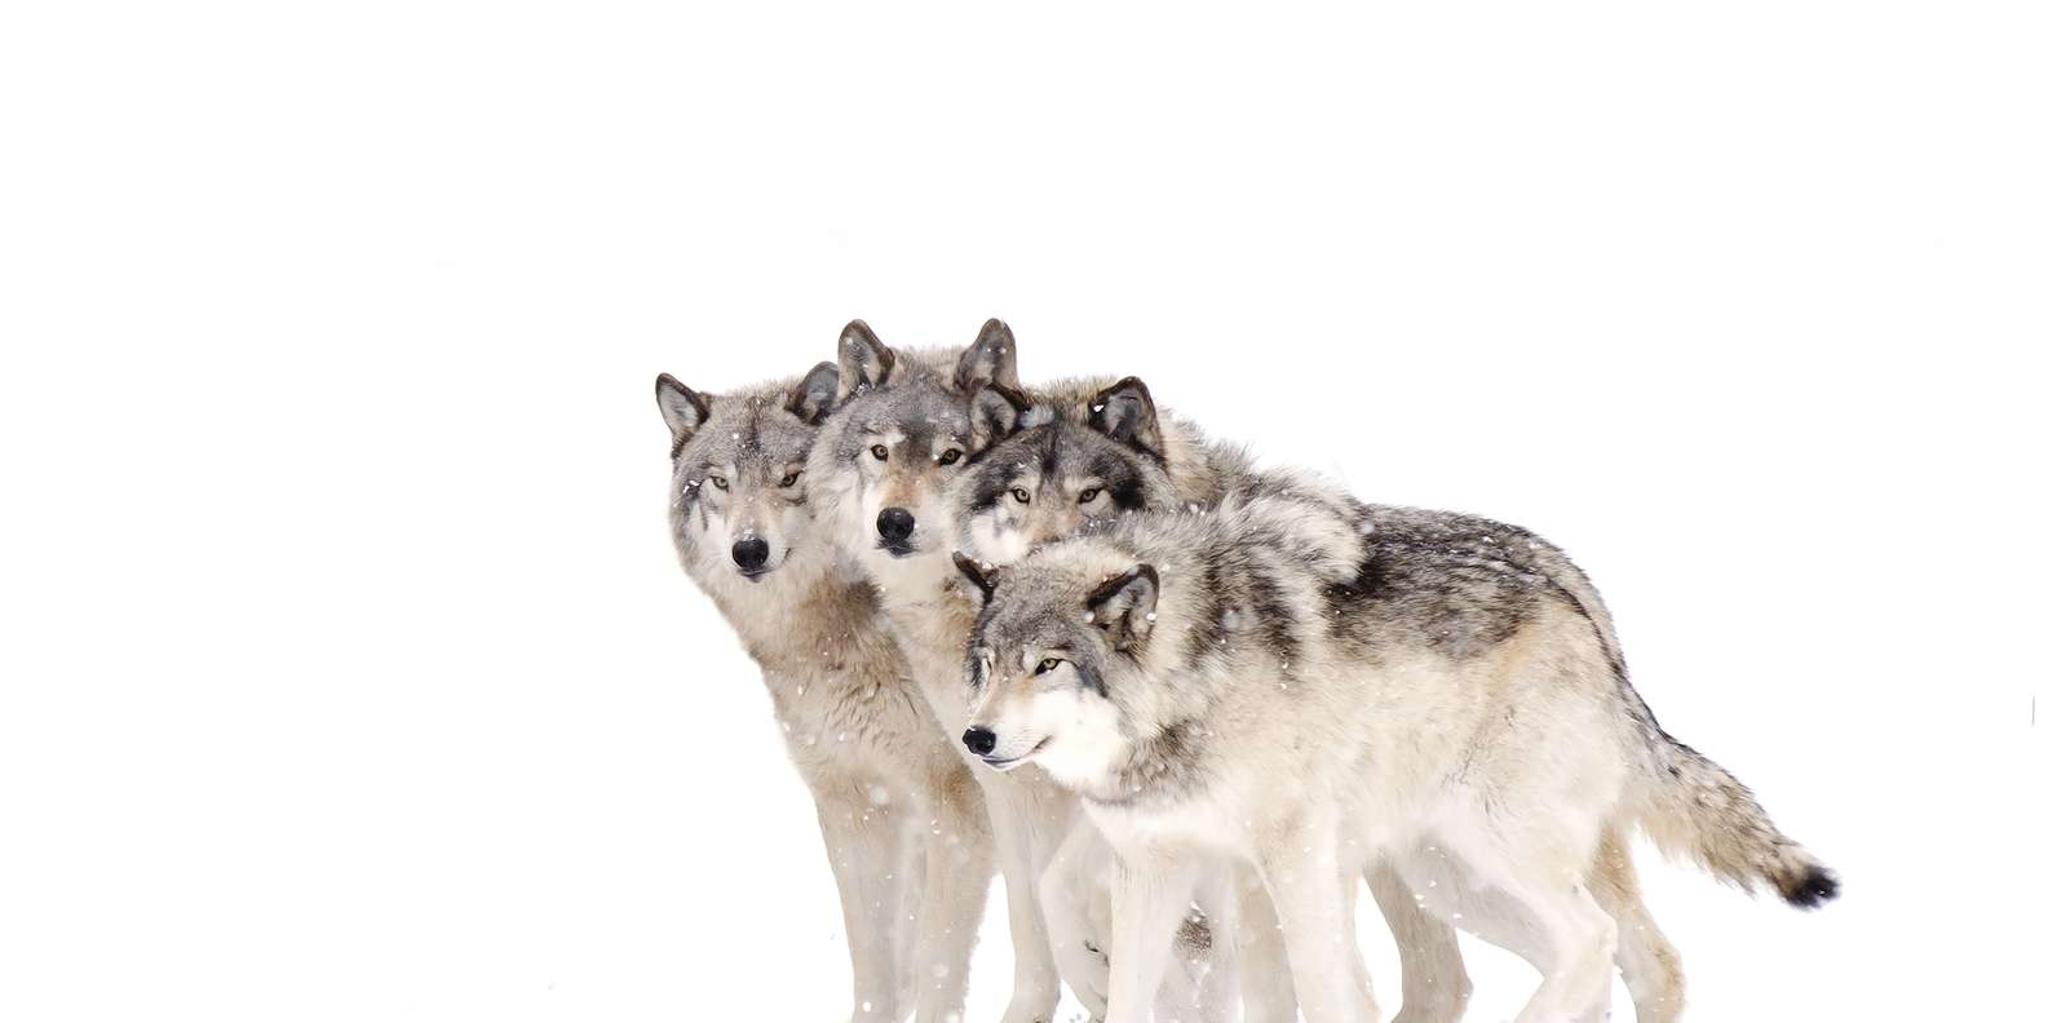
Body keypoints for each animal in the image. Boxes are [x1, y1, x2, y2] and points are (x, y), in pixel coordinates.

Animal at [655, 363, 993, 1023]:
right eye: (720, 483)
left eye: (789, 478)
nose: (749, 550)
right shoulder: (854, 805)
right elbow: (878, 958)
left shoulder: (958, 809)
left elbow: (937, 965)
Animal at [958, 477, 1838, 1023]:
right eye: (991, 663)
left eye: (1049, 664)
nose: (976, 735)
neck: (1189, 685)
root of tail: (1580, 609)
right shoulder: (1156, 867)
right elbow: (1135, 994)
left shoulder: (1292, 862)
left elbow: (1323, 989)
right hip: (1453, 882)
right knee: (1614, 954)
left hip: (1494, 846)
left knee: (1596, 942)